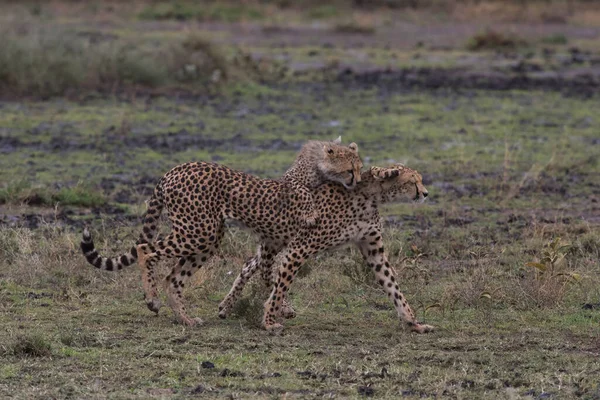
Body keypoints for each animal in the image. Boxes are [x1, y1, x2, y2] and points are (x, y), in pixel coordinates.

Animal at [79, 139, 360, 326]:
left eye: (359, 167)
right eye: (350, 169)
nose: (357, 181)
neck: (315, 171)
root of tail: (174, 170)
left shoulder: (271, 244)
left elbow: (263, 273)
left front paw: (277, 307)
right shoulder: (273, 239)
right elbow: (270, 277)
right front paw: (281, 310)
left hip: (208, 237)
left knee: (173, 277)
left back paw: (186, 319)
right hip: (198, 230)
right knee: (145, 249)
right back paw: (152, 299)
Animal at [218, 163, 434, 334]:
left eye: (420, 180)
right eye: (412, 181)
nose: (425, 193)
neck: (370, 196)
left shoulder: (374, 252)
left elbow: (393, 287)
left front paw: (413, 323)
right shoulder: (299, 248)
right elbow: (281, 287)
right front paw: (270, 322)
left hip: (275, 242)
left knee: (251, 265)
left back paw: (226, 306)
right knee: (266, 273)